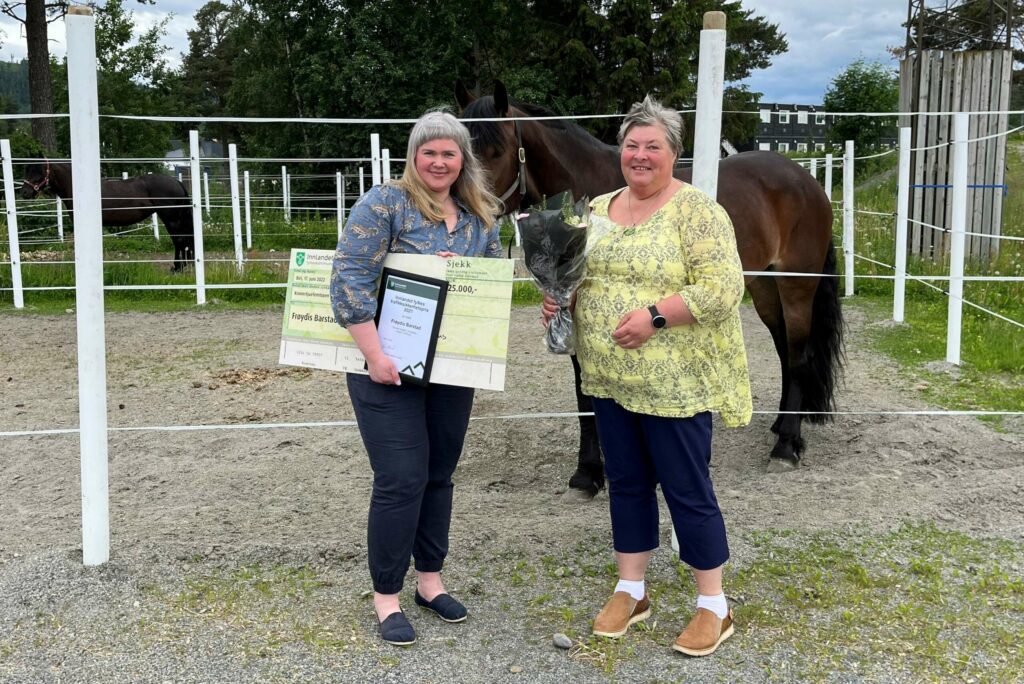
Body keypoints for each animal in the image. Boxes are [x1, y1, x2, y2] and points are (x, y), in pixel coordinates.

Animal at [19, 161, 195, 270]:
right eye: (27, 169)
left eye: (39, 171)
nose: (24, 192)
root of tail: (177, 182)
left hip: (171, 219)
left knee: (179, 241)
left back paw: (177, 268)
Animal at [460, 82, 843, 491]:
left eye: (496, 150)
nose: (472, 208)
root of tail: (806, 181)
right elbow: (584, 391)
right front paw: (588, 472)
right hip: (765, 289)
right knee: (785, 350)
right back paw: (783, 427)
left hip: (796, 286)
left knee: (799, 356)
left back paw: (786, 445)